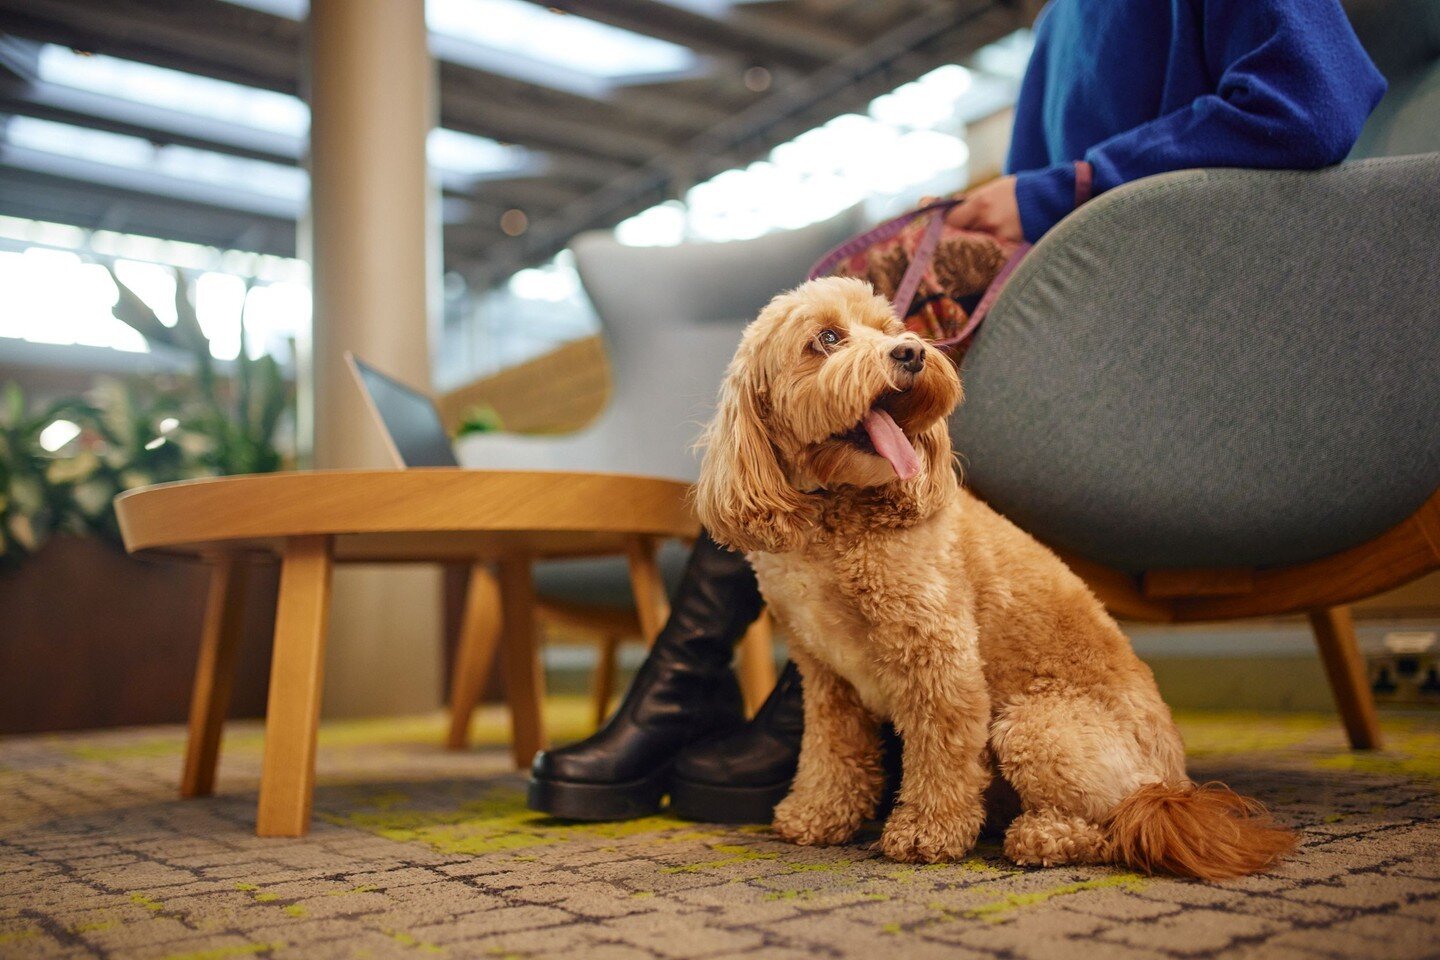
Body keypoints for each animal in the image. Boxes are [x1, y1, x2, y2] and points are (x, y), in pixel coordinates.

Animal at [694, 276, 1296, 880]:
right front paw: (819, 814)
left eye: (891, 329)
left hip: (1034, 727)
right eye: (826, 338)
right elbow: (831, 751)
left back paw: (1040, 835)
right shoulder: (824, 675)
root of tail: (1174, 786)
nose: (911, 353)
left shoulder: (938, 653)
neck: (835, 516)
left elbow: (942, 749)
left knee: (1113, 827)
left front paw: (927, 832)